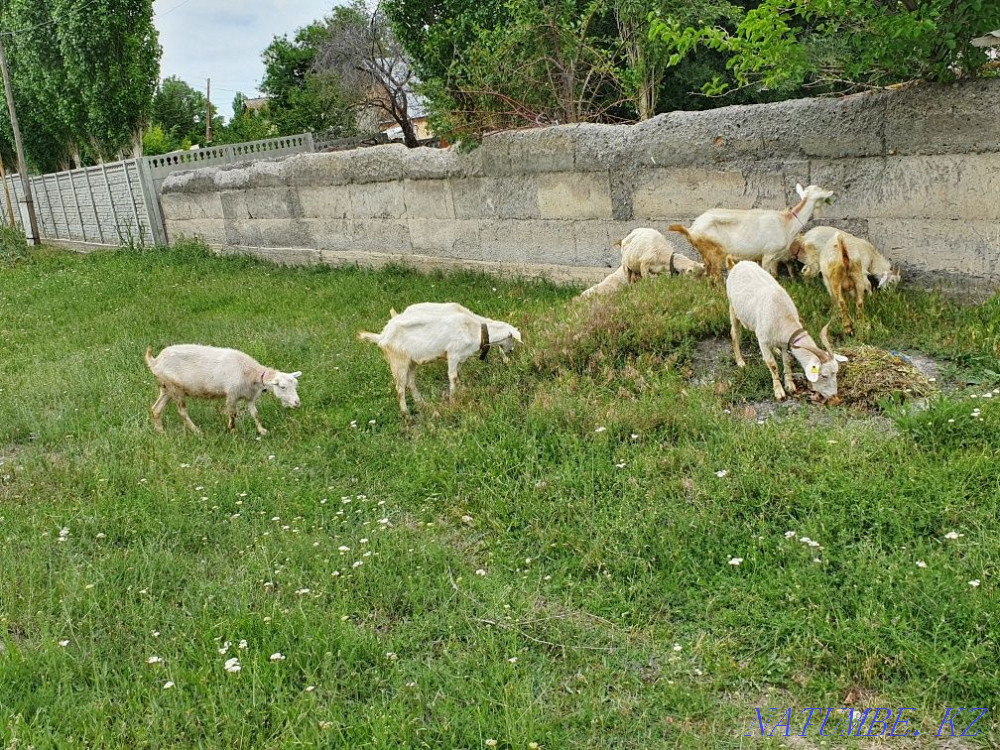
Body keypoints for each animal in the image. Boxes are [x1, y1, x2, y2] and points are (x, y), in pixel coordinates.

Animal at [145, 345, 301, 435]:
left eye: (296, 385)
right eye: (282, 387)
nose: (297, 403)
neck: (250, 373)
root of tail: (155, 361)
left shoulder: (250, 397)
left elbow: (255, 414)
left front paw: (262, 431)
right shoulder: (232, 394)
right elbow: (233, 413)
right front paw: (232, 430)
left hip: (166, 387)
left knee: (156, 409)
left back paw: (161, 432)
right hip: (175, 388)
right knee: (182, 412)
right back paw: (197, 431)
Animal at [358, 302, 521, 417]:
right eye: (512, 339)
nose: (511, 352)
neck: (475, 330)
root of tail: (382, 336)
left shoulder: (459, 358)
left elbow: (458, 377)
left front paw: (462, 392)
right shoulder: (453, 354)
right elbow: (453, 377)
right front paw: (454, 401)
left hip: (411, 362)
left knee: (410, 383)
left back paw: (423, 404)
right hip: (398, 361)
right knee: (400, 388)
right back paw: (407, 415)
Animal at [670, 183, 834, 280]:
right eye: (822, 194)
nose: (830, 194)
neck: (786, 223)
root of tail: (691, 229)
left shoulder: (772, 257)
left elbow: (775, 274)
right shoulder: (769, 254)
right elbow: (770, 275)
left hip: (705, 253)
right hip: (713, 251)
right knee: (714, 276)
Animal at [726, 261, 846, 402]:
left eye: (835, 373)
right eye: (824, 375)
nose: (834, 396)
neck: (782, 315)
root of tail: (738, 263)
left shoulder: (784, 342)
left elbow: (787, 361)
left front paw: (790, 385)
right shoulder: (763, 340)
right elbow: (772, 364)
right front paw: (779, 391)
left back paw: (775, 350)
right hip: (732, 307)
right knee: (734, 334)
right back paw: (740, 362)